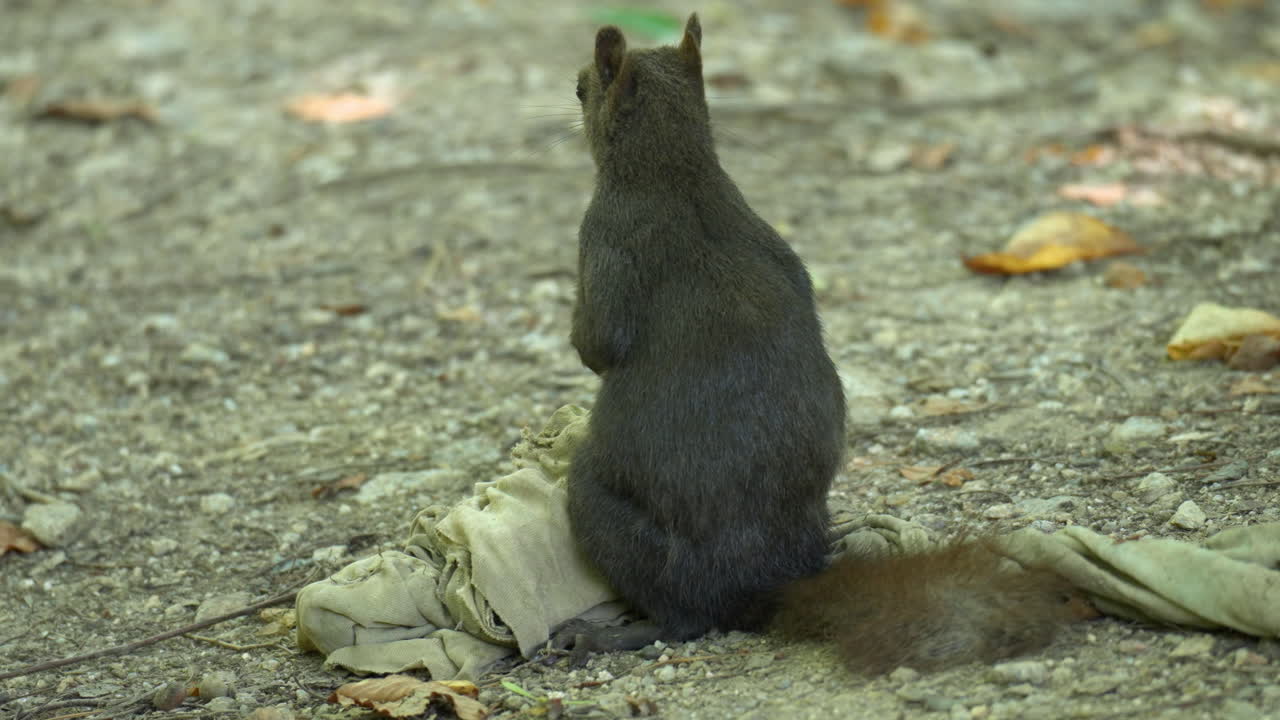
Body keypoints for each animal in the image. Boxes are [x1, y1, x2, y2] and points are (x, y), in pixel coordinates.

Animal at [563, 13, 1078, 674]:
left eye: (583, 88)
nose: (574, 88)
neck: (678, 172)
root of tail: (759, 585)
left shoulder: (605, 238)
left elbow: (597, 342)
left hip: (601, 505)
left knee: (685, 618)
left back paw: (613, 633)